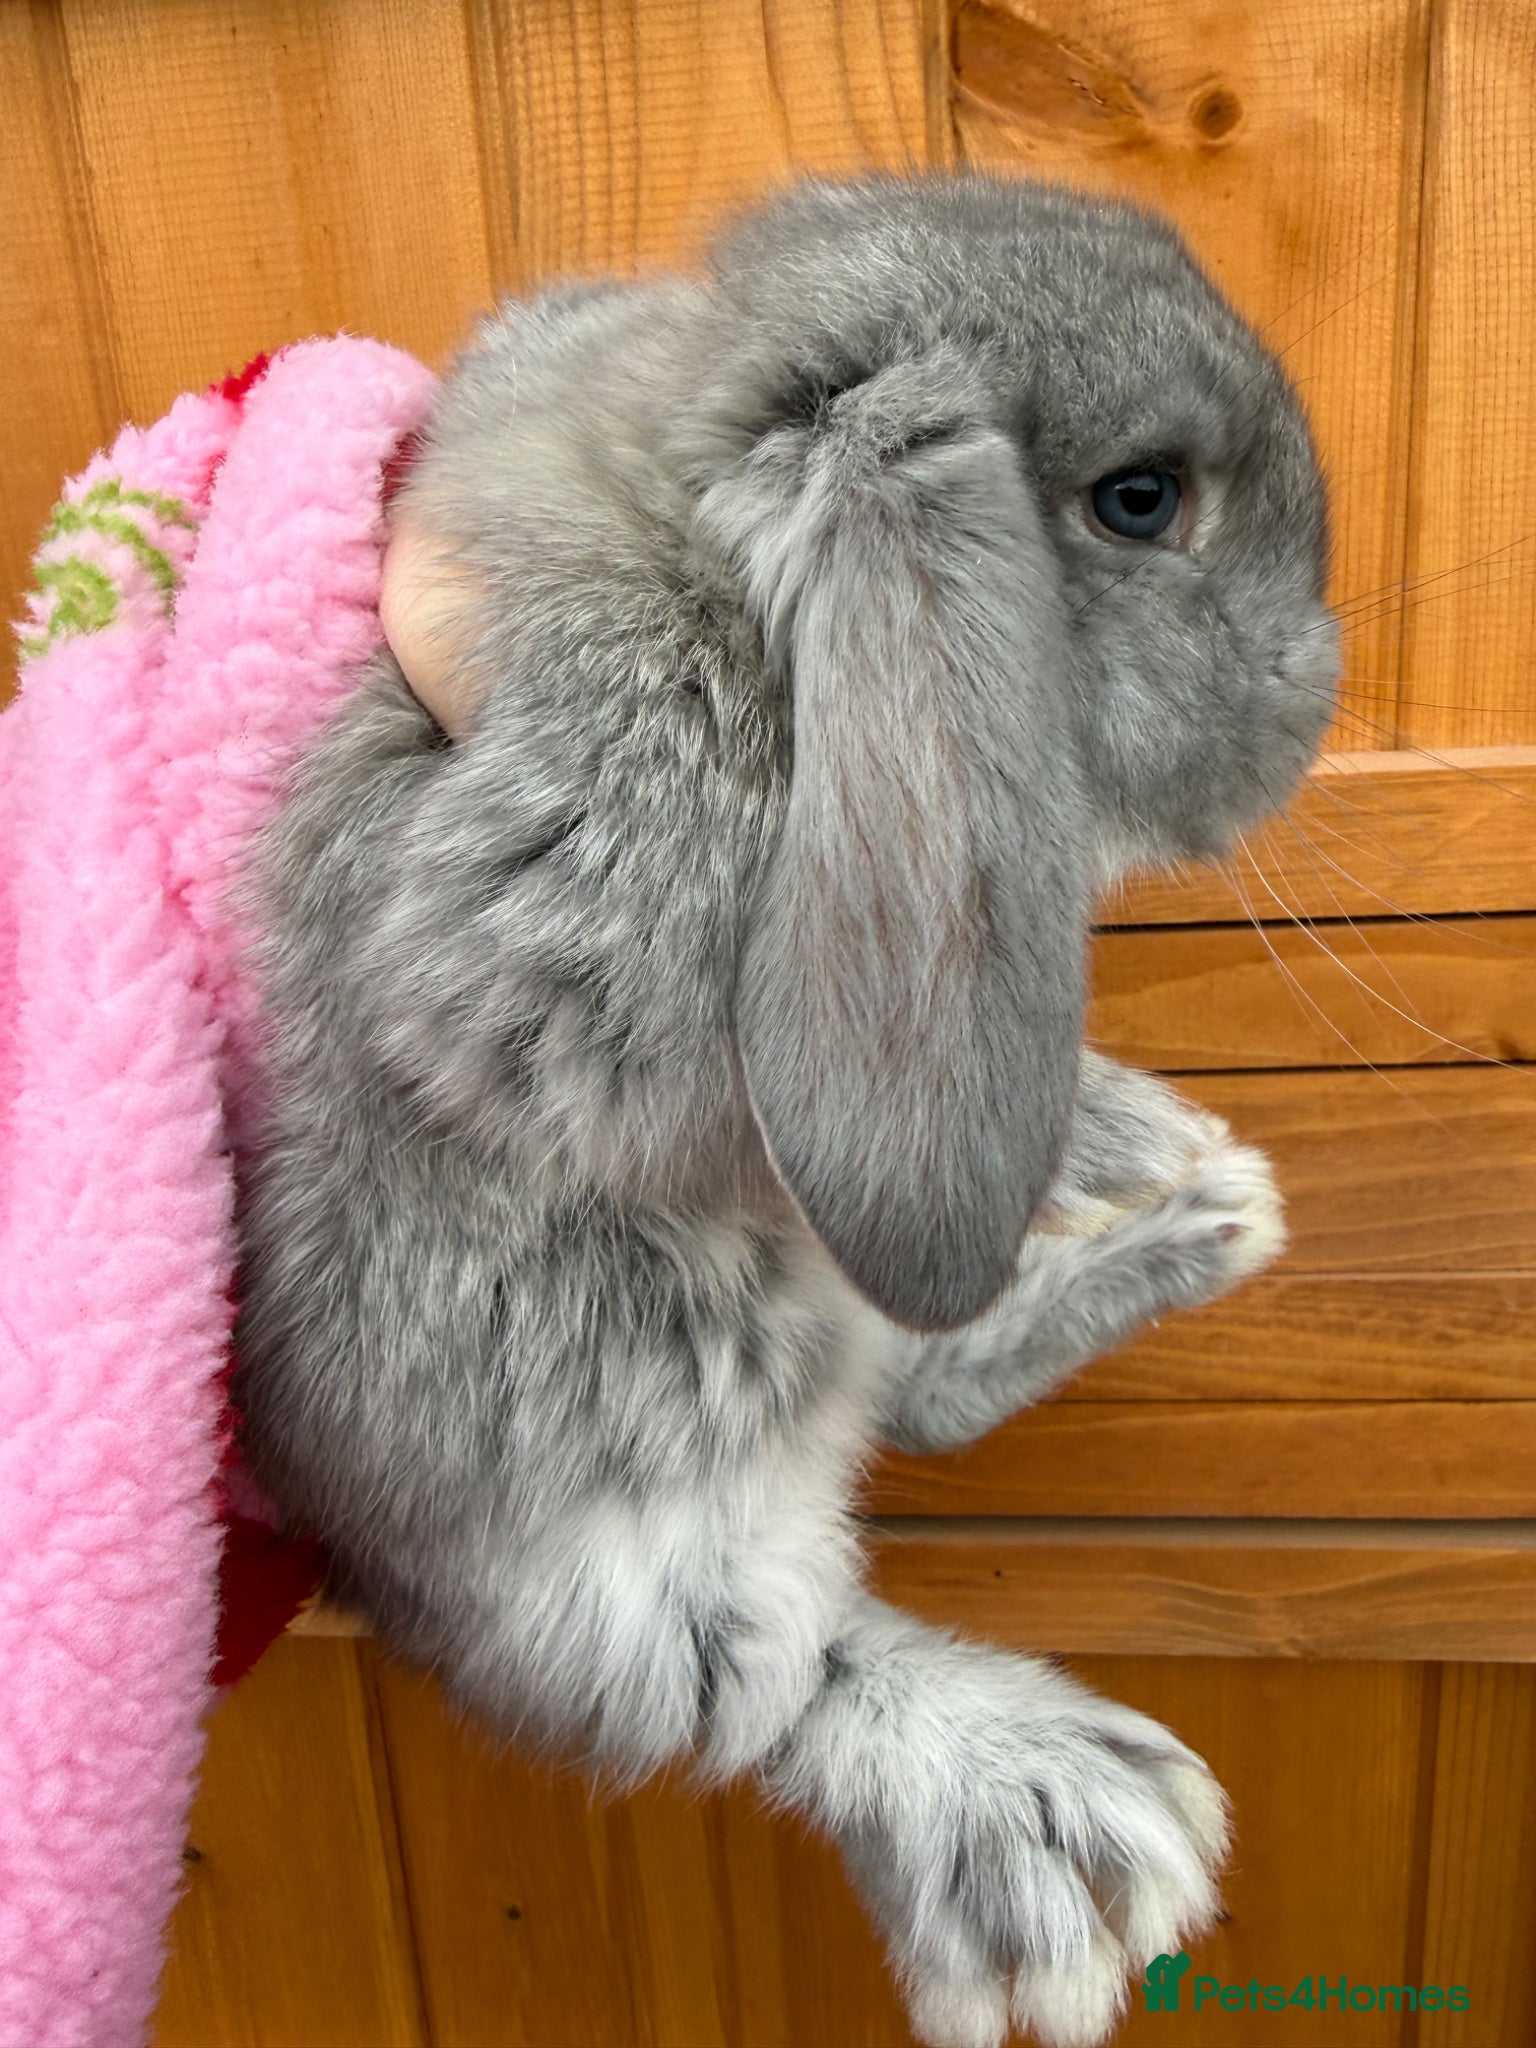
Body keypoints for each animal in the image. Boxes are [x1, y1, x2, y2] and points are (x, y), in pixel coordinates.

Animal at [234, 173, 1339, 2048]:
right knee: (785, 1681)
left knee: (932, 1399)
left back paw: (1206, 1223)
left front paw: (1145, 1142)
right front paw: (1116, 1133)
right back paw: (1065, 1826)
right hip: (653, 1522)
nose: (1316, 700)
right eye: (1139, 499)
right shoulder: (574, 945)